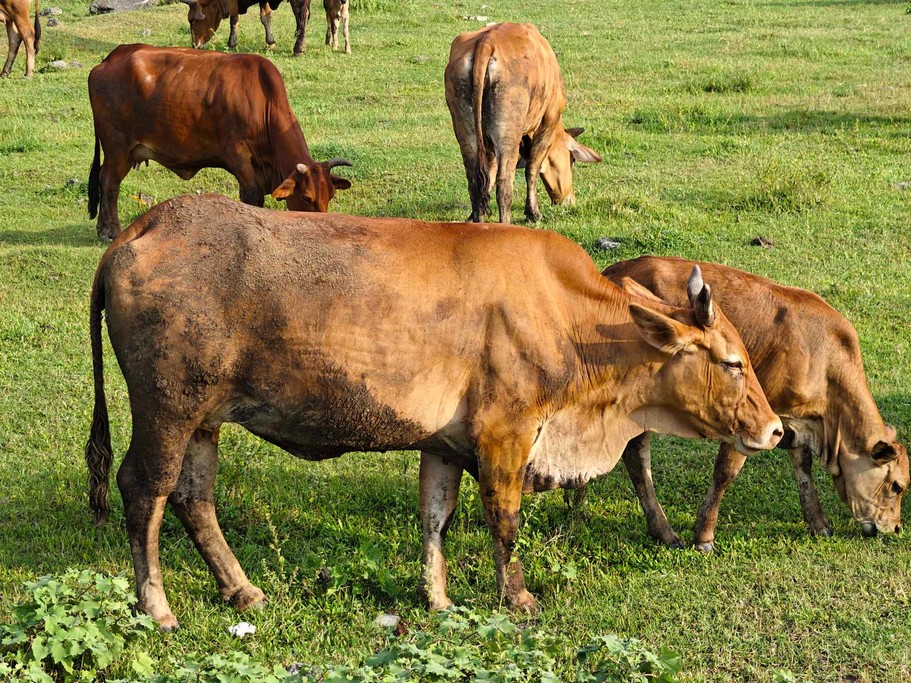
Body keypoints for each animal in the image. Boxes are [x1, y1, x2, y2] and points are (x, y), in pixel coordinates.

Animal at [87, 44, 352, 240]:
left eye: (330, 196)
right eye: (307, 198)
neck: (263, 102)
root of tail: (108, 60)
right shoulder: (237, 155)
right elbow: (253, 196)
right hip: (118, 148)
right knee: (109, 183)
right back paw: (110, 231)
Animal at [87, 194, 784, 632]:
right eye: (732, 362)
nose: (774, 428)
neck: (574, 320)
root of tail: (144, 226)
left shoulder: (444, 444)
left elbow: (435, 518)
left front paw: (439, 599)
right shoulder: (506, 434)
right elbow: (504, 522)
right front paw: (518, 597)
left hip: (204, 419)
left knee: (193, 498)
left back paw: (241, 589)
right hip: (167, 410)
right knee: (144, 490)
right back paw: (157, 606)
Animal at [180, 0, 312, 55]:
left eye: (192, 20)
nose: (194, 45)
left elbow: (234, 20)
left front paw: (231, 44)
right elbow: (265, 17)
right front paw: (270, 43)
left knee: (302, 16)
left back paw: (299, 48)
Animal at [446, 21, 604, 223]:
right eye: (572, 160)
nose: (569, 200)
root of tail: (487, 40)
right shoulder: (549, 121)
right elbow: (533, 167)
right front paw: (533, 212)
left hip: (466, 130)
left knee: (475, 180)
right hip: (508, 131)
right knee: (504, 182)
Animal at [604, 256, 908, 552]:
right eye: (897, 486)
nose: (895, 528)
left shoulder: (791, 420)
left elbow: (803, 466)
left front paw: (818, 523)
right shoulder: (747, 419)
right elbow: (725, 472)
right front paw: (704, 536)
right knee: (637, 457)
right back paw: (664, 531)